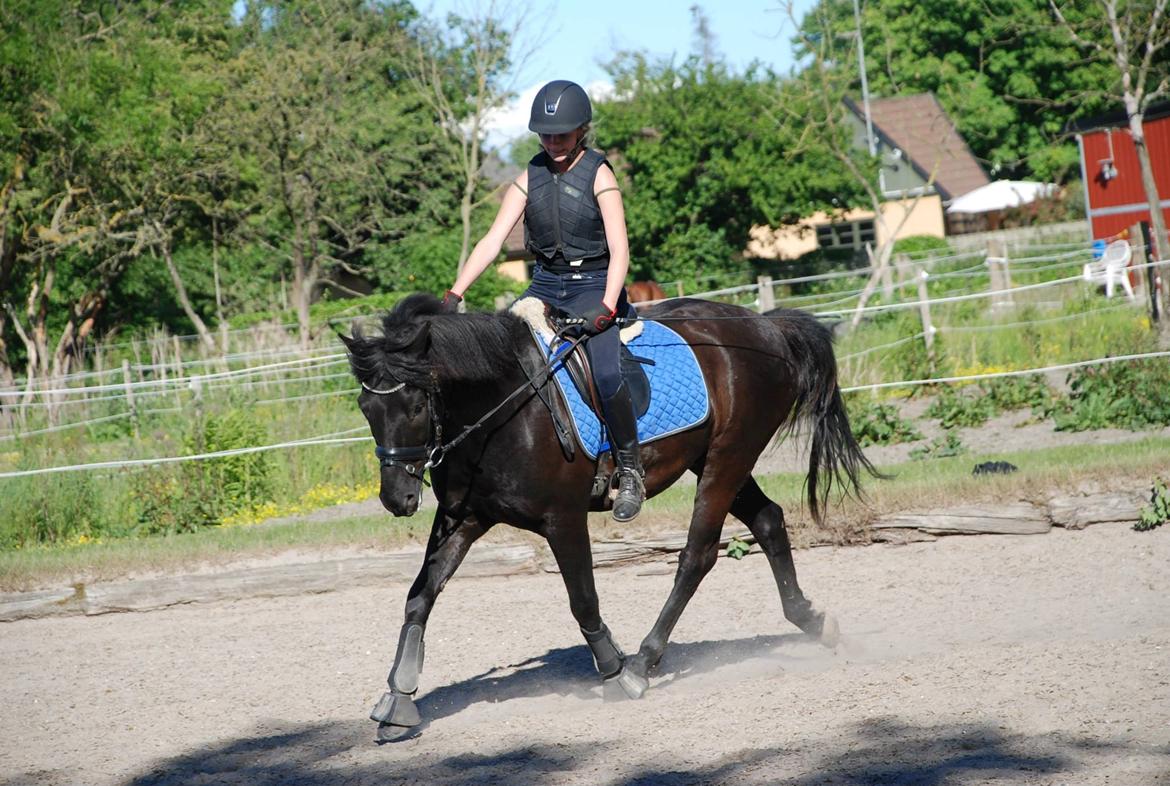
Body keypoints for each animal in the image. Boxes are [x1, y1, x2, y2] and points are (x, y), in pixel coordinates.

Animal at [341, 293, 875, 741]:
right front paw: (398, 699)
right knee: (767, 520)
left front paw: (616, 670)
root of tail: (765, 326)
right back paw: (812, 621)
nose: (396, 498)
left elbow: (583, 600)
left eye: (414, 405)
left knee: (697, 555)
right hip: (716, 459)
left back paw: (643, 663)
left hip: (729, 456)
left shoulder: (562, 519)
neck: (503, 410)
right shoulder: (463, 519)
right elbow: (419, 597)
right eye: (366, 407)